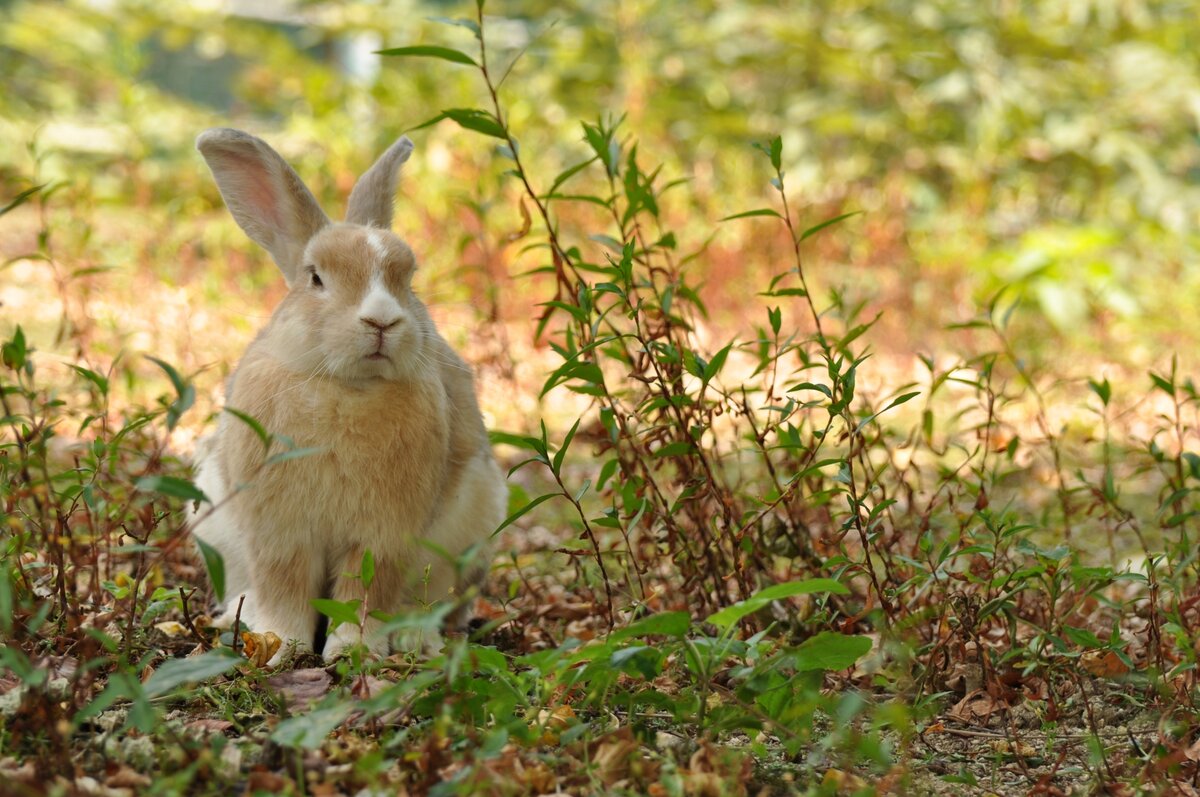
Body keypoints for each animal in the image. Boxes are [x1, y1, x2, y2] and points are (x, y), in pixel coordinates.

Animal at [188, 129, 506, 667]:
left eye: (407, 279)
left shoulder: (383, 533)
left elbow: (366, 590)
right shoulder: (279, 532)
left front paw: (354, 650)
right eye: (316, 277)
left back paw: (416, 639)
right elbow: (284, 586)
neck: (346, 388)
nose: (382, 320)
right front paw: (282, 646)